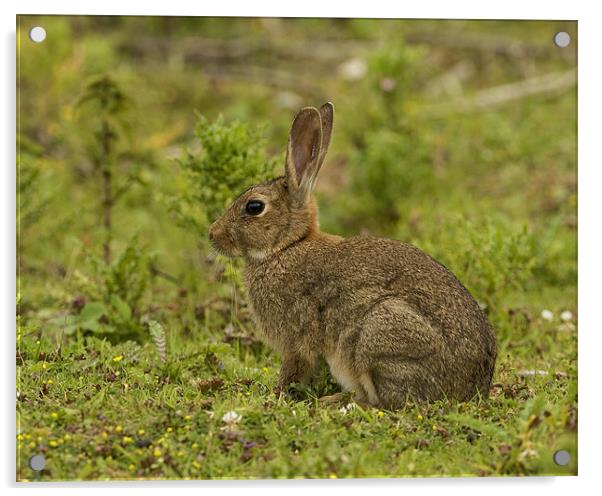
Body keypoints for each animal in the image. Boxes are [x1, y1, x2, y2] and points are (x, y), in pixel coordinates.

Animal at [209, 102, 494, 408]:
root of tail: (471, 389)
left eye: (254, 207)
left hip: (379, 336)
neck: (286, 246)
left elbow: (293, 369)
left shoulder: (296, 339)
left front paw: (275, 396)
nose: (212, 234)